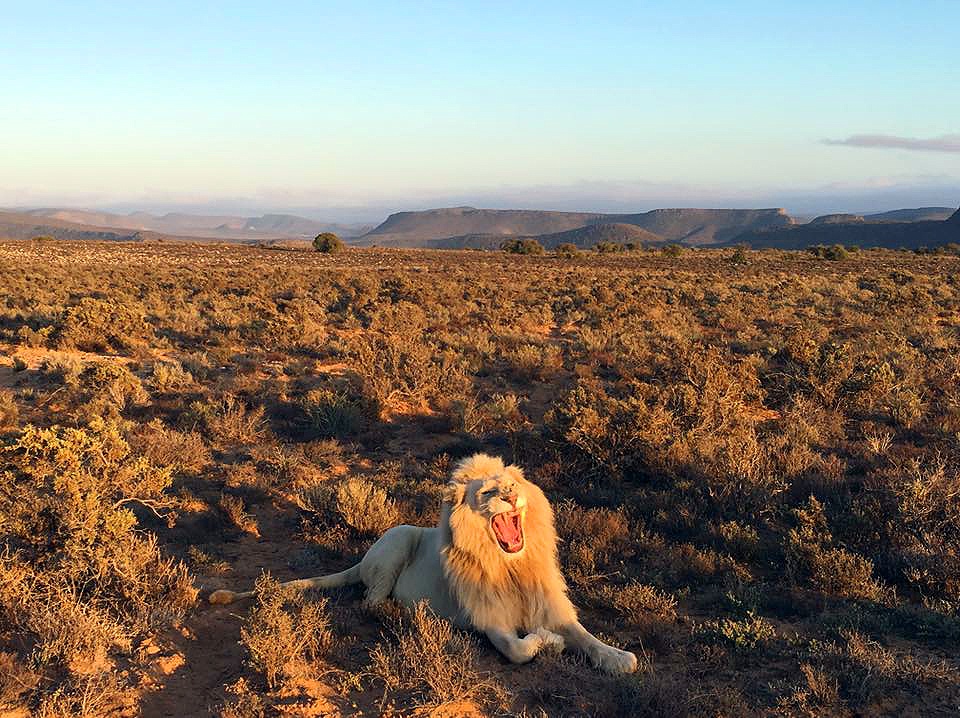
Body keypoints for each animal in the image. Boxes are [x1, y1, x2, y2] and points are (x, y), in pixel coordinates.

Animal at [214, 456, 640, 676]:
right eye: (488, 491)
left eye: (513, 485)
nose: (509, 496)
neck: (511, 565)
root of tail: (362, 559)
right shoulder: (492, 622)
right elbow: (519, 650)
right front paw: (549, 643)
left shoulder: (550, 605)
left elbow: (586, 636)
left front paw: (619, 658)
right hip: (399, 539)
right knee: (371, 602)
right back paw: (409, 615)